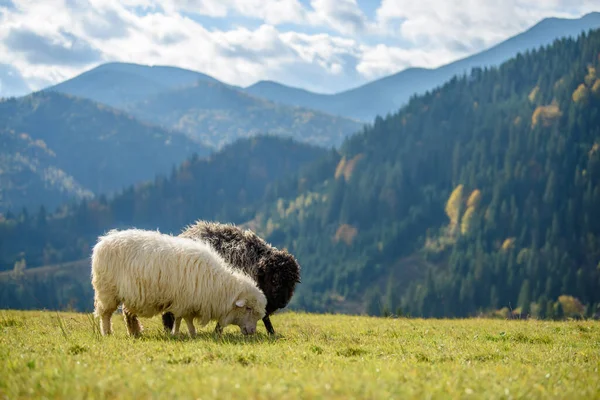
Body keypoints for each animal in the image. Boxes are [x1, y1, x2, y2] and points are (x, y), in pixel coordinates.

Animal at [89, 228, 268, 338]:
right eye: (248, 308)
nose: (252, 331)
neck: (218, 285)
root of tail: (103, 241)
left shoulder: (187, 302)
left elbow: (184, 319)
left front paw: (188, 333)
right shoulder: (184, 300)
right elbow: (182, 319)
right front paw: (183, 333)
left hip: (129, 294)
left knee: (127, 313)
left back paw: (135, 332)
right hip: (107, 291)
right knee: (105, 314)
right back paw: (107, 333)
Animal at [162, 220, 300, 336]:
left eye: (291, 283)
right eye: (274, 280)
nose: (283, 303)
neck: (254, 262)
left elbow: (265, 317)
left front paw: (271, 332)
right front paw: (217, 332)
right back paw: (168, 329)